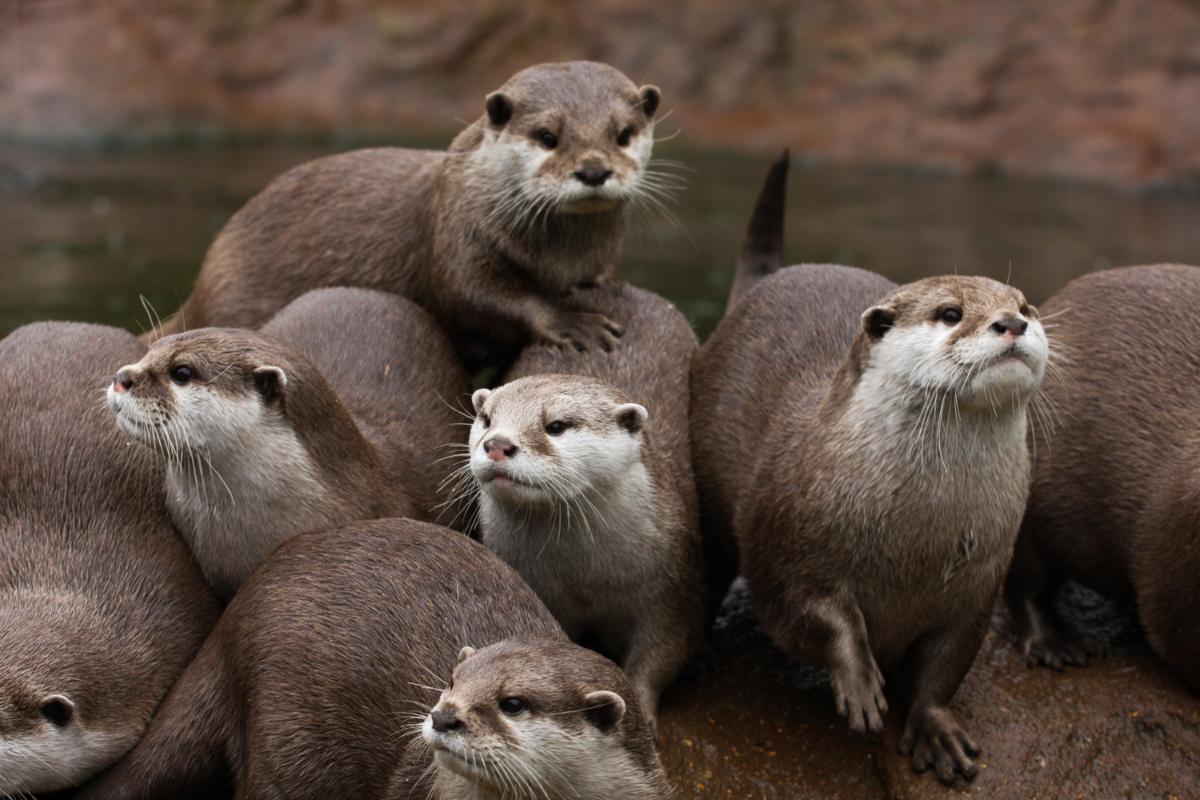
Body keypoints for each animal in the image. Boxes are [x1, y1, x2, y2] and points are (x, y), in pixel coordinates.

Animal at [152, 61, 667, 368]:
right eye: (547, 136)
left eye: (623, 133)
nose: (594, 170)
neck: (558, 258)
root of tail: (203, 285)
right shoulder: (456, 236)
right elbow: (475, 294)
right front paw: (571, 321)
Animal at [691, 153, 1049, 784]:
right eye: (950, 313)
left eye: (1025, 304)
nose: (1013, 323)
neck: (919, 542)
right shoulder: (788, 546)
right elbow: (813, 613)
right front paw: (859, 685)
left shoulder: (978, 586)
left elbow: (945, 666)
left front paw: (935, 728)